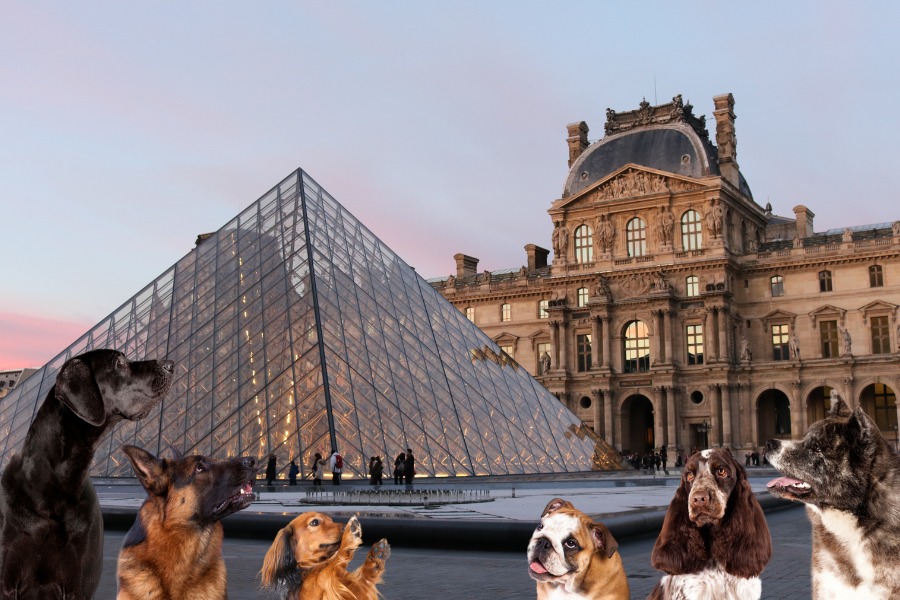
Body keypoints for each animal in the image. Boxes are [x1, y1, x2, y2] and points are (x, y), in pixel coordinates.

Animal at [258, 510, 388, 600]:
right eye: (314, 522)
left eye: (330, 520)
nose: (345, 527)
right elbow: (329, 569)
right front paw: (348, 537)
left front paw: (375, 559)